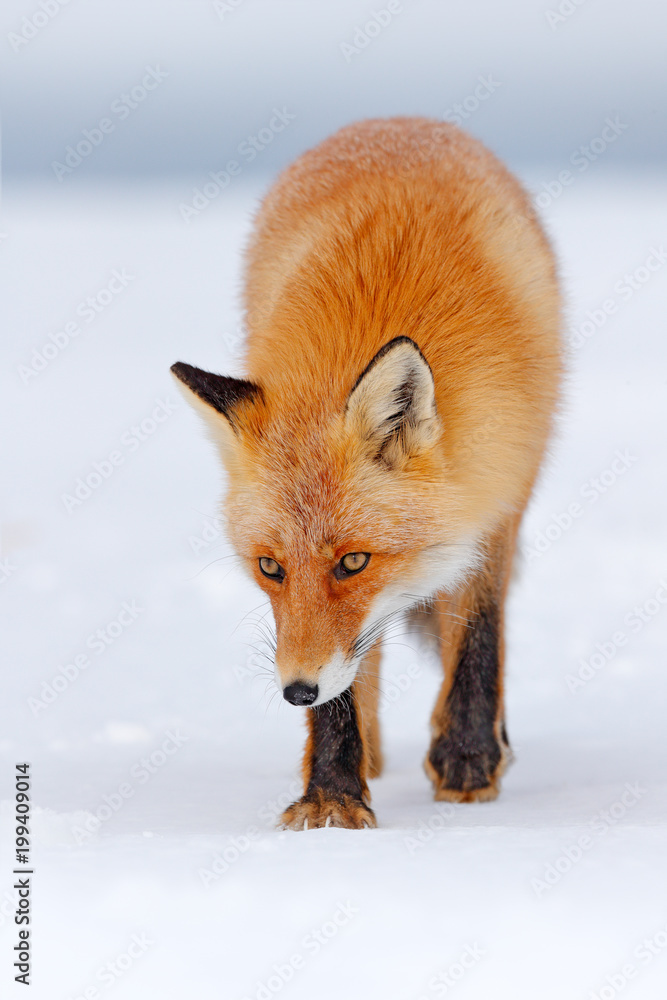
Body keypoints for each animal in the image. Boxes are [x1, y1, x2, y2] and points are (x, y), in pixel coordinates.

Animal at [172, 117, 562, 830]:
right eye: (269, 567)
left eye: (353, 562)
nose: (296, 691)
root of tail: (398, 121)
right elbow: (347, 681)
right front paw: (332, 792)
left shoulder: (496, 497)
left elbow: (479, 631)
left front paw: (469, 757)